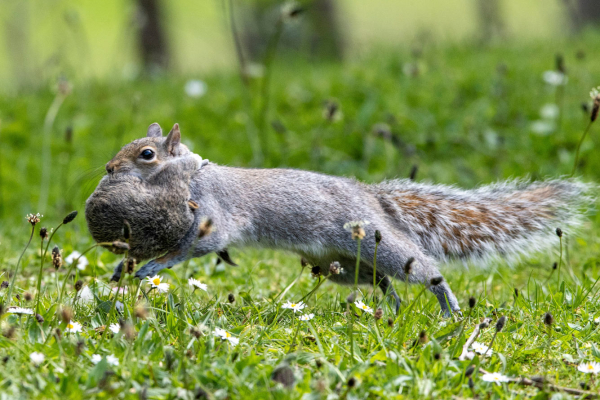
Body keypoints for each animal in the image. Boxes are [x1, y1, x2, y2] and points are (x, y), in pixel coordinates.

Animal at [85, 122, 596, 316]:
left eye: (146, 154)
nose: (108, 167)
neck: (192, 175)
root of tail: (372, 198)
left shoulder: (214, 216)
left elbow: (191, 247)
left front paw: (151, 266)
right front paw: (123, 267)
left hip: (375, 243)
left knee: (425, 273)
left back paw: (449, 310)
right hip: (342, 267)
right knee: (383, 283)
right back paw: (390, 311)